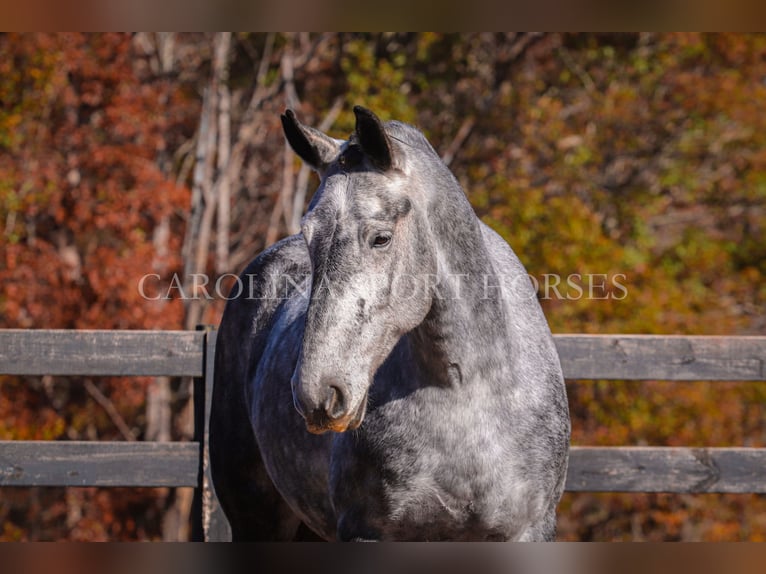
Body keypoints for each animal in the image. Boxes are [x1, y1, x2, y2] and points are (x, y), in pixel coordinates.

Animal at [210, 106, 568, 544]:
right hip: (255, 519)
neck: (468, 398)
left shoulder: (529, 531)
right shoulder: (368, 531)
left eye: (380, 238)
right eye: (308, 235)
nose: (317, 392)